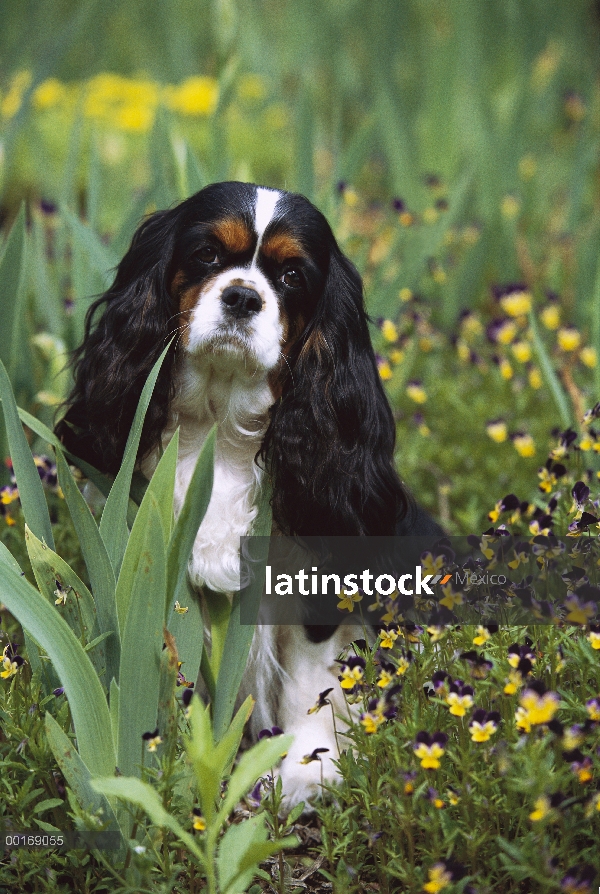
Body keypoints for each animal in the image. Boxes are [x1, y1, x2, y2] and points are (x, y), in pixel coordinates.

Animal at [56, 180, 440, 804]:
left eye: (291, 276)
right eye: (208, 254)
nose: (242, 297)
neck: (221, 431)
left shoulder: (320, 582)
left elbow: (313, 679)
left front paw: (309, 767)